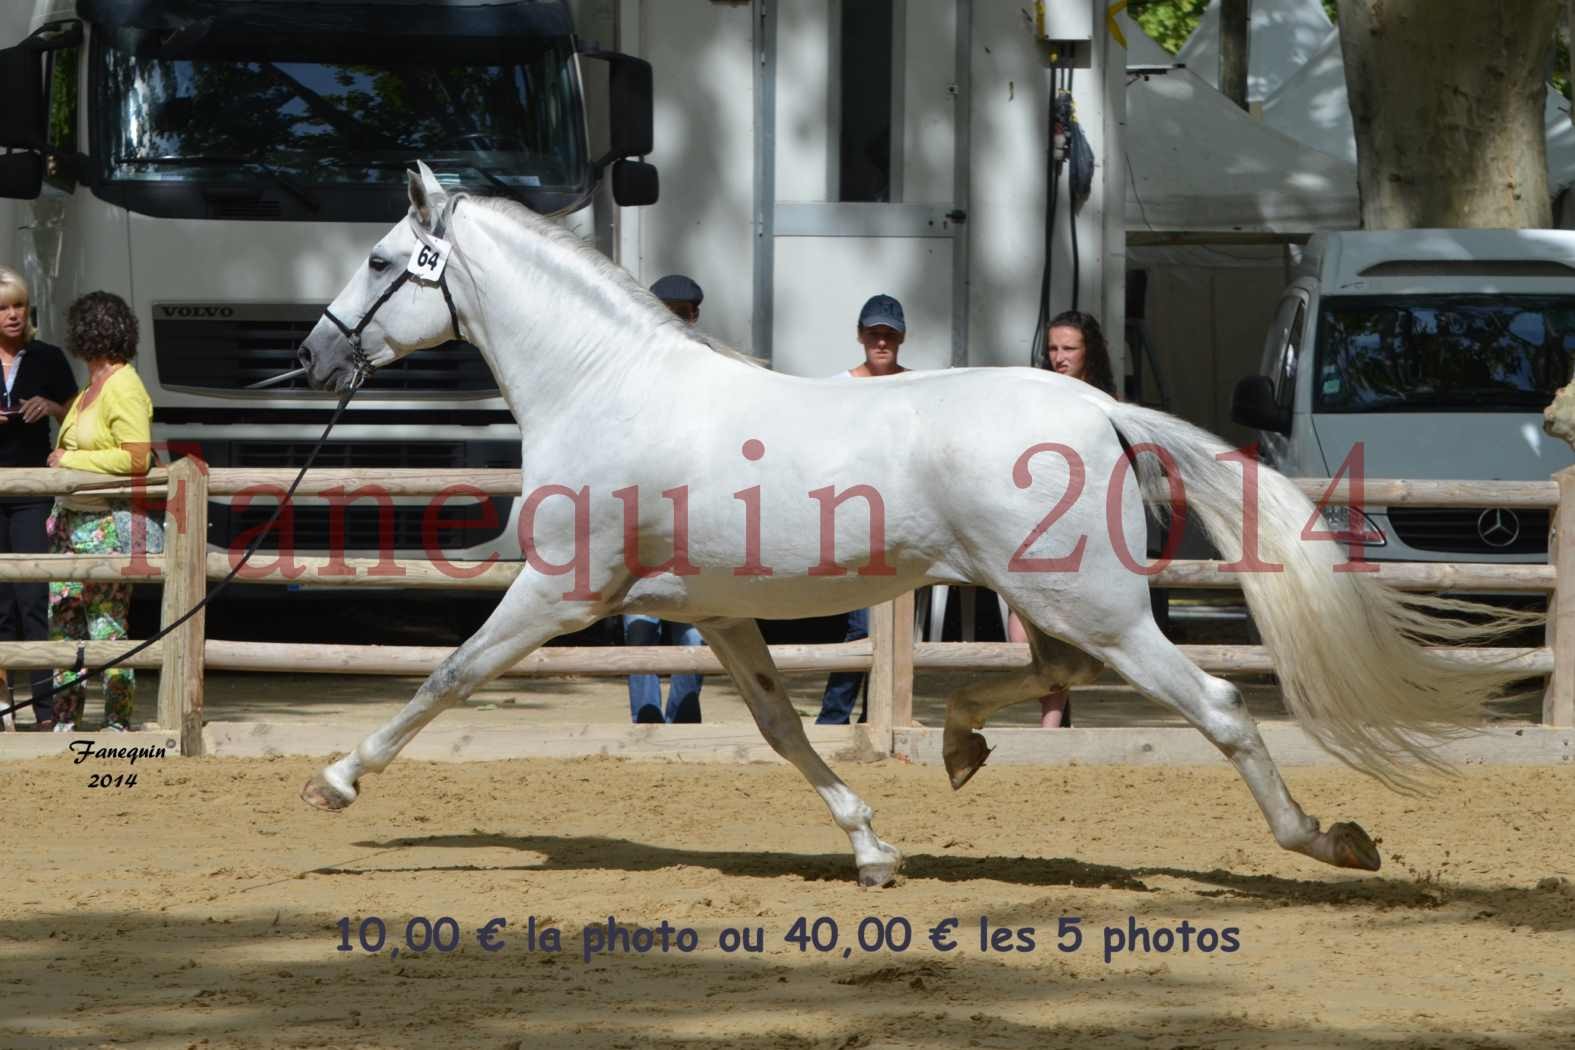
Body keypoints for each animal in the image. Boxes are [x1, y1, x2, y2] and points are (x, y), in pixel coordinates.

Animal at [296, 164, 1524, 887]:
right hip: (1056, 598)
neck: (607, 385)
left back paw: (1327, 839)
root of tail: (1097, 405)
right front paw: (873, 848)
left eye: (377, 260)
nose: (312, 357)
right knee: (1053, 674)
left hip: (1094, 602)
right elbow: (783, 731)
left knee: (1214, 706)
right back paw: (961, 744)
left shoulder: (561, 591)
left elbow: (449, 675)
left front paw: (335, 782)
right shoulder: (720, 617)